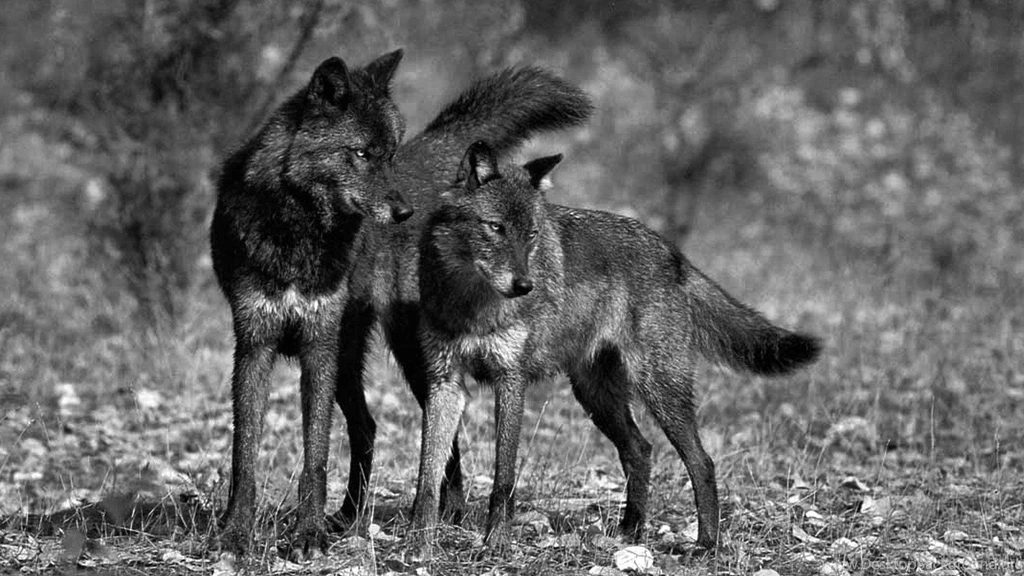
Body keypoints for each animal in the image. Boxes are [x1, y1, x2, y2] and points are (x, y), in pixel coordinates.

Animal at [209, 50, 408, 559]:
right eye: (361, 153)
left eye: (391, 154)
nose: (405, 212)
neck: (300, 230)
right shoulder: (253, 345)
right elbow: (244, 457)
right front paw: (235, 533)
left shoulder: (319, 346)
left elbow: (316, 455)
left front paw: (309, 533)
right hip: (345, 362)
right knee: (366, 426)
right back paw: (349, 516)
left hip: (367, 354)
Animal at [410, 141, 822, 551]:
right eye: (495, 228)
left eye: (531, 234)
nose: (525, 286)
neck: (471, 305)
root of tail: (672, 252)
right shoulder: (445, 383)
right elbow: (428, 474)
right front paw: (420, 541)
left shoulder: (510, 381)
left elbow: (503, 476)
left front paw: (495, 541)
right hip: (597, 397)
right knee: (640, 450)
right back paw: (631, 531)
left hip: (658, 391)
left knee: (702, 462)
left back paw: (706, 545)